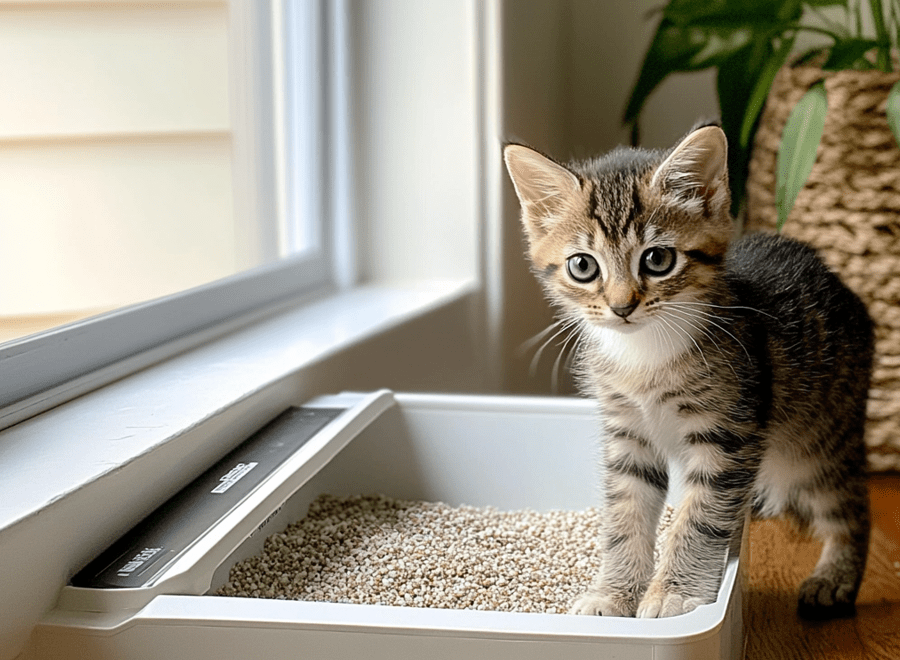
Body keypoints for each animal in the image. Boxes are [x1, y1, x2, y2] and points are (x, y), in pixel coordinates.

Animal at [502, 124, 868, 620]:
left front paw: (673, 592)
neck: (645, 356)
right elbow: (626, 514)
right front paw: (613, 592)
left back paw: (836, 577)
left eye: (657, 260)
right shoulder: (628, 436)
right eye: (583, 266)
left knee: (849, 506)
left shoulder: (728, 434)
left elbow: (701, 515)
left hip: (820, 438)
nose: (622, 307)